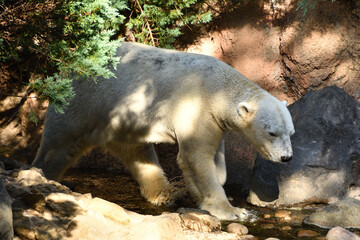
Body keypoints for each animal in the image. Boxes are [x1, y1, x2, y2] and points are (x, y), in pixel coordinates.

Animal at [32, 40, 294, 219]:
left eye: (290, 133)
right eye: (272, 132)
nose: (286, 157)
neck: (218, 88)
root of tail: (69, 66)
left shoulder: (214, 120)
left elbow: (212, 157)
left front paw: (200, 188)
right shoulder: (197, 107)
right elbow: (197, 156)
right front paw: (232, 210)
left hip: (123, 118)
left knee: (136, 151)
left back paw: (166, 192)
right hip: (83, 102)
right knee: (59, 145)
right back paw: (45, 177)